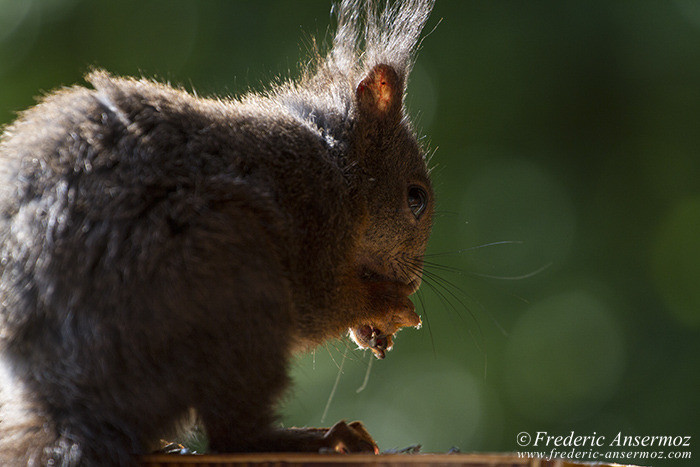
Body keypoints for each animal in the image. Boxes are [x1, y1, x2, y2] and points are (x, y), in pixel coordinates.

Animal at [0, 0, 434, 464]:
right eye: (416, 198)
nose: (413, 281)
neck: (337, 163)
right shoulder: (313, 210)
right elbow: (319, 304)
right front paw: (387, 306)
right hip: (231, 281)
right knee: (235, 435)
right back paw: (317, 438)